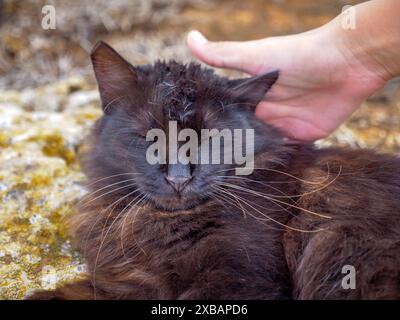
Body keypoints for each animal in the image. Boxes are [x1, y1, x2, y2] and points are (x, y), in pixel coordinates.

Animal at [29, 42, 400, 300]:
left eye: (209, 138)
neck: (157, 224)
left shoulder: (240, 276)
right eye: (150, 137)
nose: (178, 177)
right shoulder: (130, 281)